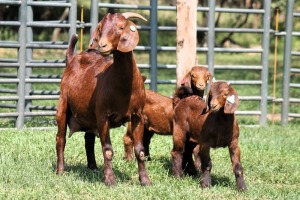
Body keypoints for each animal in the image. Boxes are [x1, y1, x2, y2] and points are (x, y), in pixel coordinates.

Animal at [55, 12, 151, 186]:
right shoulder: (103, 116)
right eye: (101, 28)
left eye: (121, 27)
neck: (124, 86)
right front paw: (109, 179)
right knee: (61, 139)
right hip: (63, 104)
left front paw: (145, 180)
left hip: (89, 116)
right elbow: (107, 150)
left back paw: (93, 167)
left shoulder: (138, 116)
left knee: (88, 138)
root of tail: (71, 59)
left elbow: (140, 150)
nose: (102, 45)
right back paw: (60, 170)